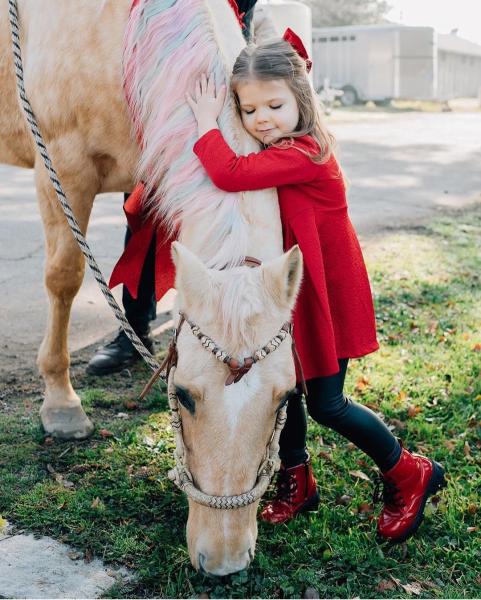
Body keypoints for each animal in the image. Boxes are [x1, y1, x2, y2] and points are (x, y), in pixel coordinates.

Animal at [1, 0, 304, 572]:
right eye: (182, 395)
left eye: (284, 400)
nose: (224, 560)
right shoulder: (61, 166)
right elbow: (64, 276)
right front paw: (61, 406)